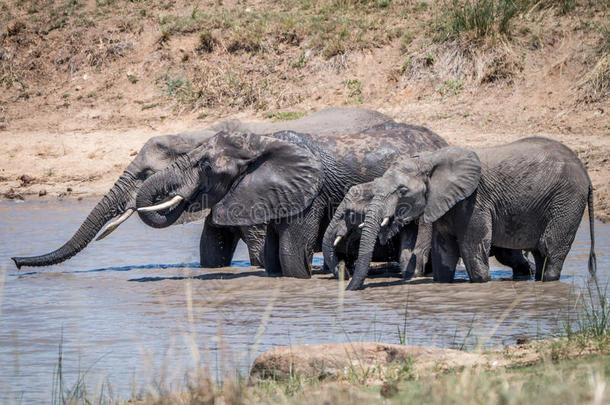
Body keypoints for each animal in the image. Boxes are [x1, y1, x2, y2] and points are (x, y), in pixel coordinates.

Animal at [342, 137, 592, 288]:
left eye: (402, 190)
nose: (351, 288)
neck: (429, 160)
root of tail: (587, 175)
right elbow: (443, 251)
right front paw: (443, 283)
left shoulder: (474, 201)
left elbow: (473, 248)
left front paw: (481, 284)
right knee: (540, 253)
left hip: (567, 201)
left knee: (550, 249)